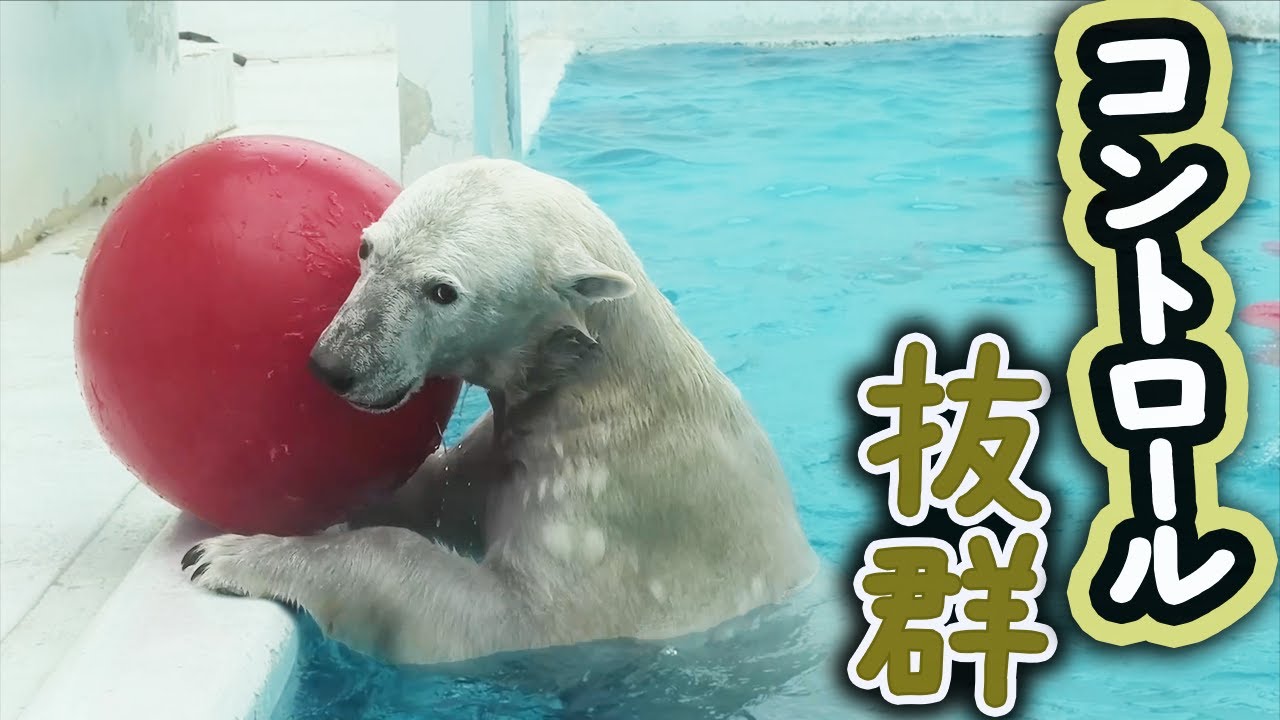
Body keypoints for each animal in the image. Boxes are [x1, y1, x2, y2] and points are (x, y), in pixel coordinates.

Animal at [181, 156, 821, 668]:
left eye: (443, 291)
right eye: (367, 247)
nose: (335, 365)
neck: (602, 388)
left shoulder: (607, 520)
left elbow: (498, 618)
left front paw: (225, 555)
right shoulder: (512, 447)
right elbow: (435, 492)